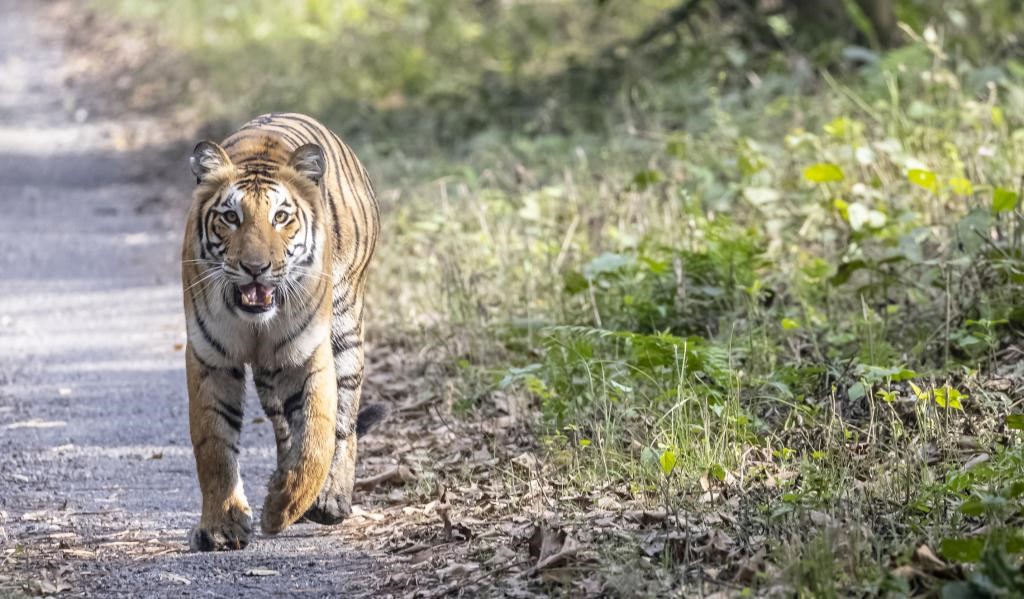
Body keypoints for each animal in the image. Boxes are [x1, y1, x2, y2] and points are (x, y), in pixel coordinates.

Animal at [181, 112, 382, 551]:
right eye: (231, 217)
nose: (256, 267)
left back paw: (329, 500)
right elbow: (213, 444)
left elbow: (318, 438)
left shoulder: (308, 353)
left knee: (344, 423)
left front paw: (284, 507)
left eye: (281, 217)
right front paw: (221, 526)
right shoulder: (210, 357)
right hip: (269, 372)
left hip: (345, 326)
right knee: (283, 427)